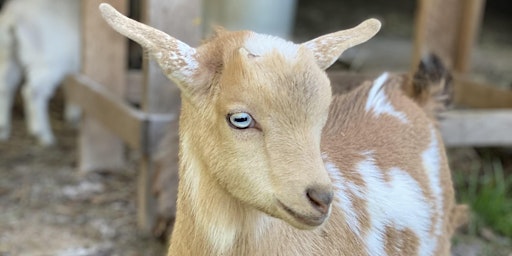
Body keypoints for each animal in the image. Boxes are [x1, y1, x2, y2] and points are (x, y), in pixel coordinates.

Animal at [0, 0, 79, 145]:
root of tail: (13, 15)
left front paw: (73, 117)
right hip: (48, 61)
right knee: (32, 92)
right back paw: (43, 135)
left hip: (8, 54)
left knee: (5, 86)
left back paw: (3, 130)